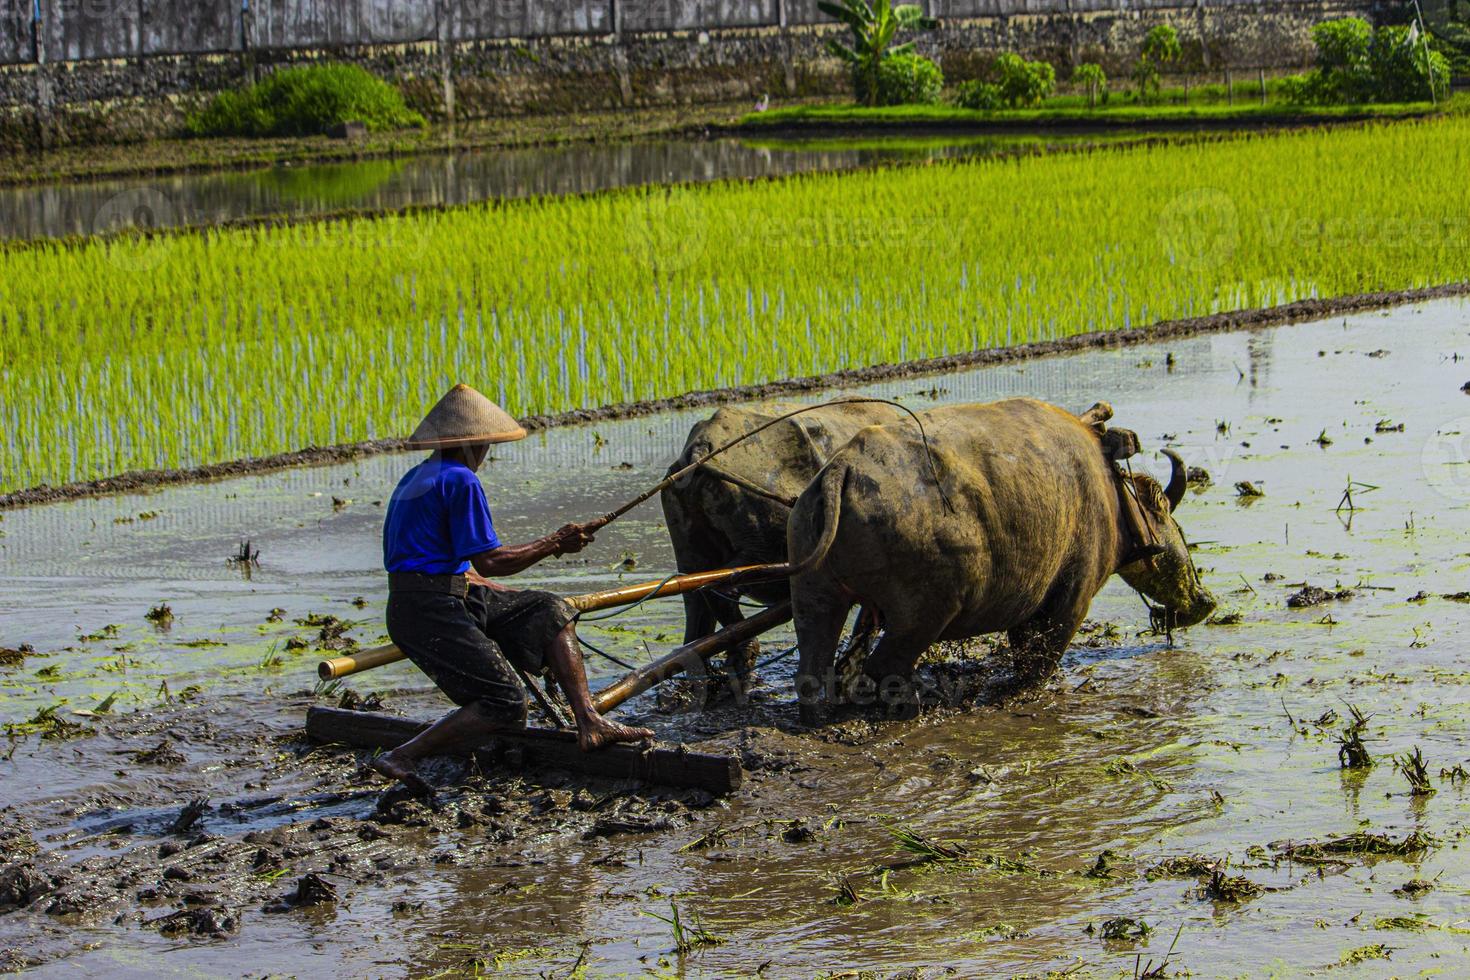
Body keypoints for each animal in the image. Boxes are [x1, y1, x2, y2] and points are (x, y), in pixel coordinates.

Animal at [793, 396, 1217, 719]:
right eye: (1166, 513)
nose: (1205, 599)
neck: (1113, 495)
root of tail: (842, 469)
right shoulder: (1071, 597)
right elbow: (1039, 657)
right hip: (925, 613)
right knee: (884, 666)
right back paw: (914, 705)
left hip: (815, 598)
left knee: (813, 669)